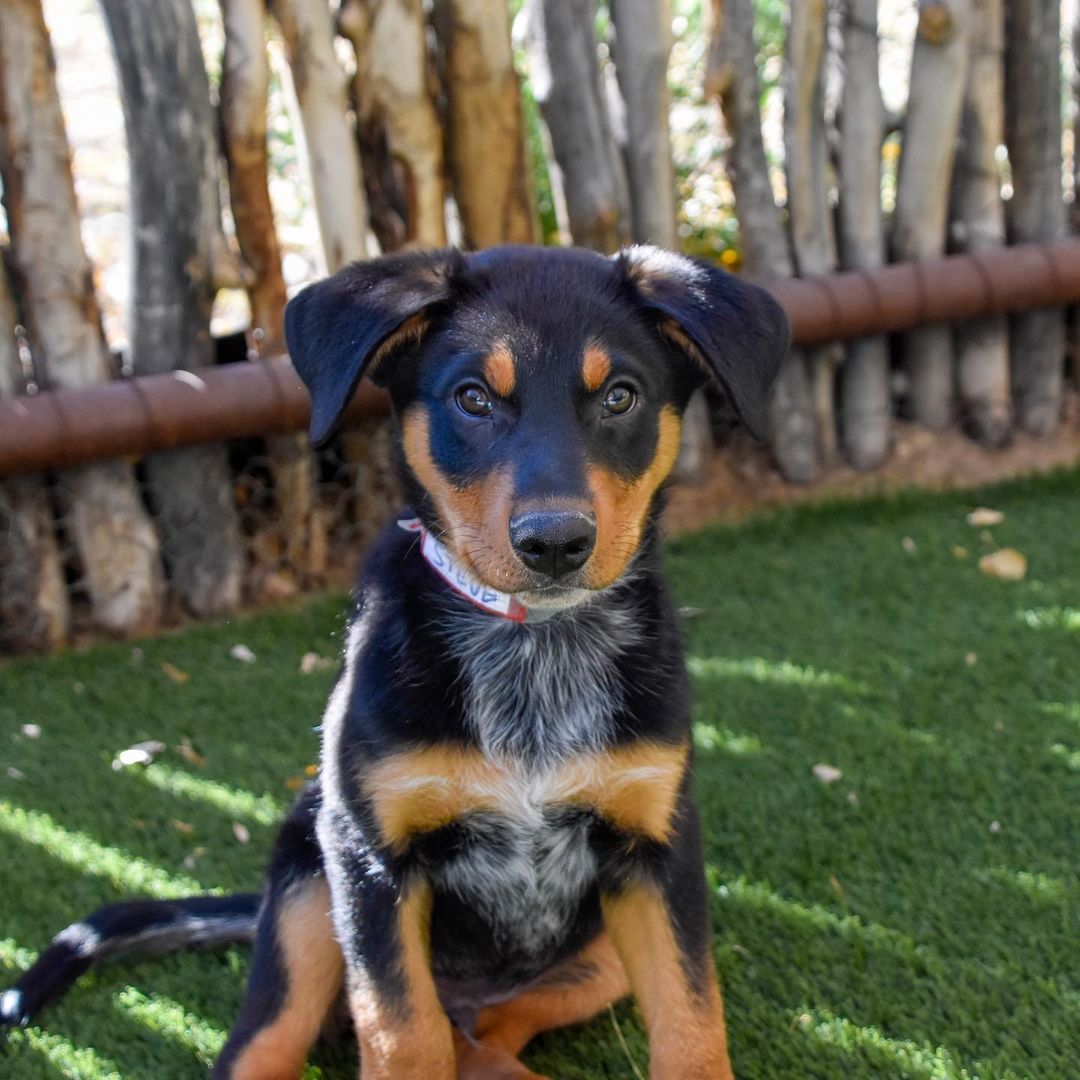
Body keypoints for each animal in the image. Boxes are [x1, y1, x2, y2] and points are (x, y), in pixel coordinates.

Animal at [4, 247, 790, 1080]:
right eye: (473, 398)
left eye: (620, 396)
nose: (554, 542)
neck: (532, 649)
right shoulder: (371, 861)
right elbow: (401, 1030)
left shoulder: (657, 852)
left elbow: (692, 1023)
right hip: (306, 883)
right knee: (278, 1037)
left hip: (596, 958)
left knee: (490, 1032)